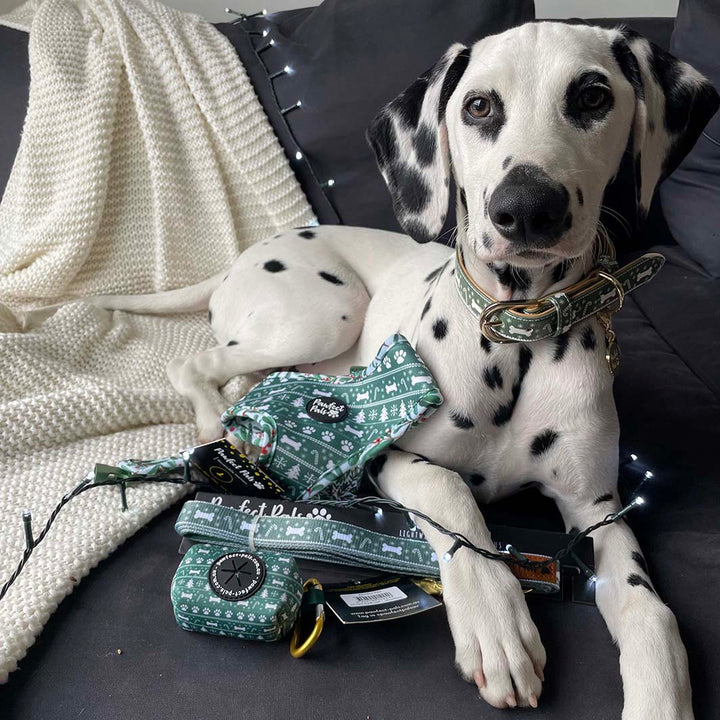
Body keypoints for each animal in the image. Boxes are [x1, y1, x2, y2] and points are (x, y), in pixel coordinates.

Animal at [81, 22, 716, 720]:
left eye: (593, 96)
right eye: (479, 106)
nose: (527, 208)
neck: (515, 339)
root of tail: (250, 250)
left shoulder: (597, 507)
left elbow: (650, 609)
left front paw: (660, 697)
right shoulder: (388, 457)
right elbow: (454, 494)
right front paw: (496, 621)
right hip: (324, 313)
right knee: (192, 362)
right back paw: (214, 425)